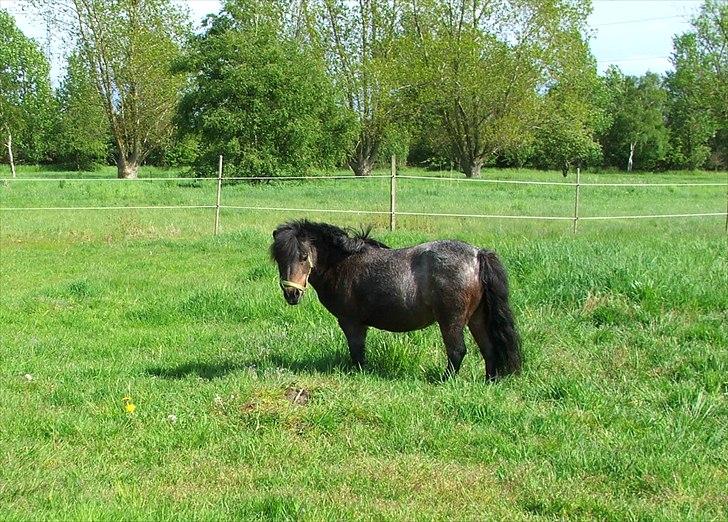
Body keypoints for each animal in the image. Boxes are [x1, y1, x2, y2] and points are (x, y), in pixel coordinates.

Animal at [270, 217, 520, 380]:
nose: (291, 294)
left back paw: (444, 381)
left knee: (457, 351)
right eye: (279, 259)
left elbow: (357, 350)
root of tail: (478, 255)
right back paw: (489, 381)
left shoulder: (351, 322)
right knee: (489, 349)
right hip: (477, 317)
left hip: (452, 319)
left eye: (304, 257)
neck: (343, 264)